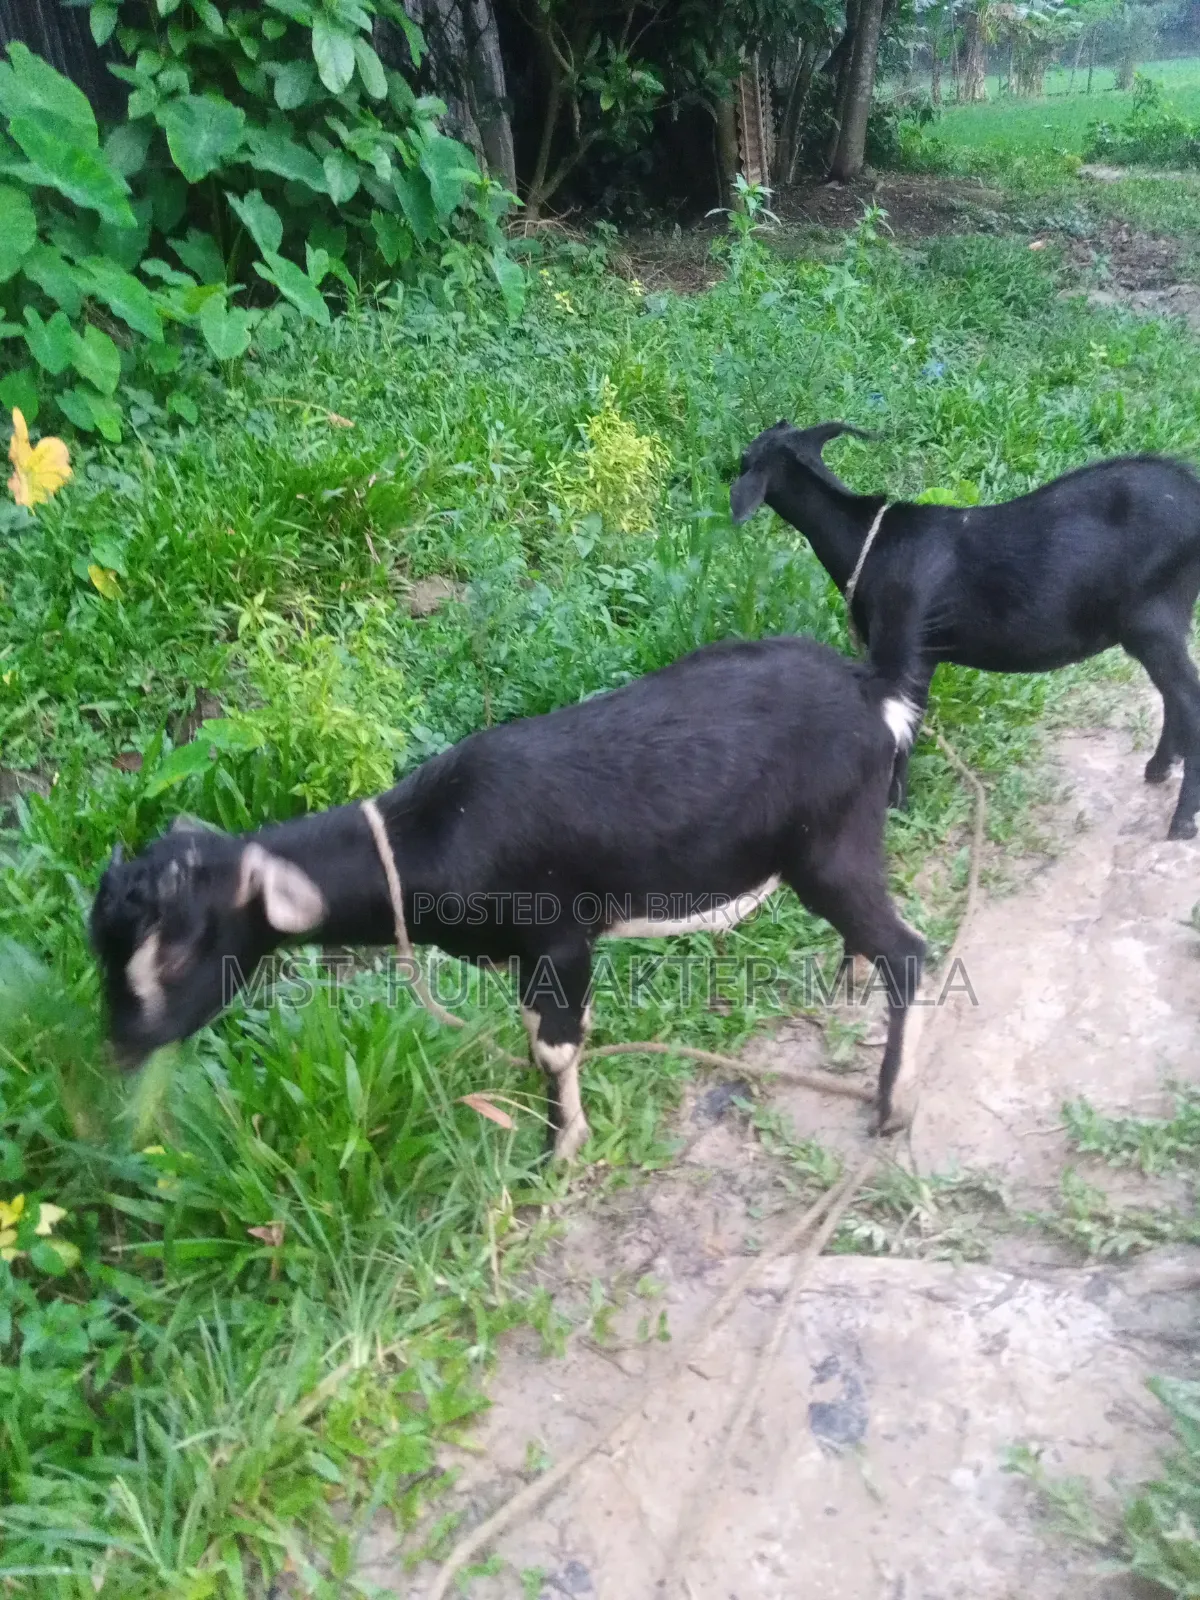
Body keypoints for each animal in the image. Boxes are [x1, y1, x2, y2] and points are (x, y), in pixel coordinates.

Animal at [90, 636, 926, 1159]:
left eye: (178, 953)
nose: (121, 1047)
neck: (429, 835)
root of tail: (871, 695)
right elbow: (544, 1033)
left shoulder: (557, 938)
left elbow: (555, 1042)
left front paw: (560, 1147)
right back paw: (846, 986)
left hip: (830, 847)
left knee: (908, 953)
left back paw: (891, 1106)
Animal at [730, 420, 1200, 841]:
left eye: (745, 460)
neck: (870, 541)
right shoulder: (920, 657)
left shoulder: (903, 648)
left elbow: (901, 727)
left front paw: (892, 810)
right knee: (1173, 694)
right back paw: (1159, 768)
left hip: (1152, 619)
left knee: (1188, 698)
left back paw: (1181, 821)